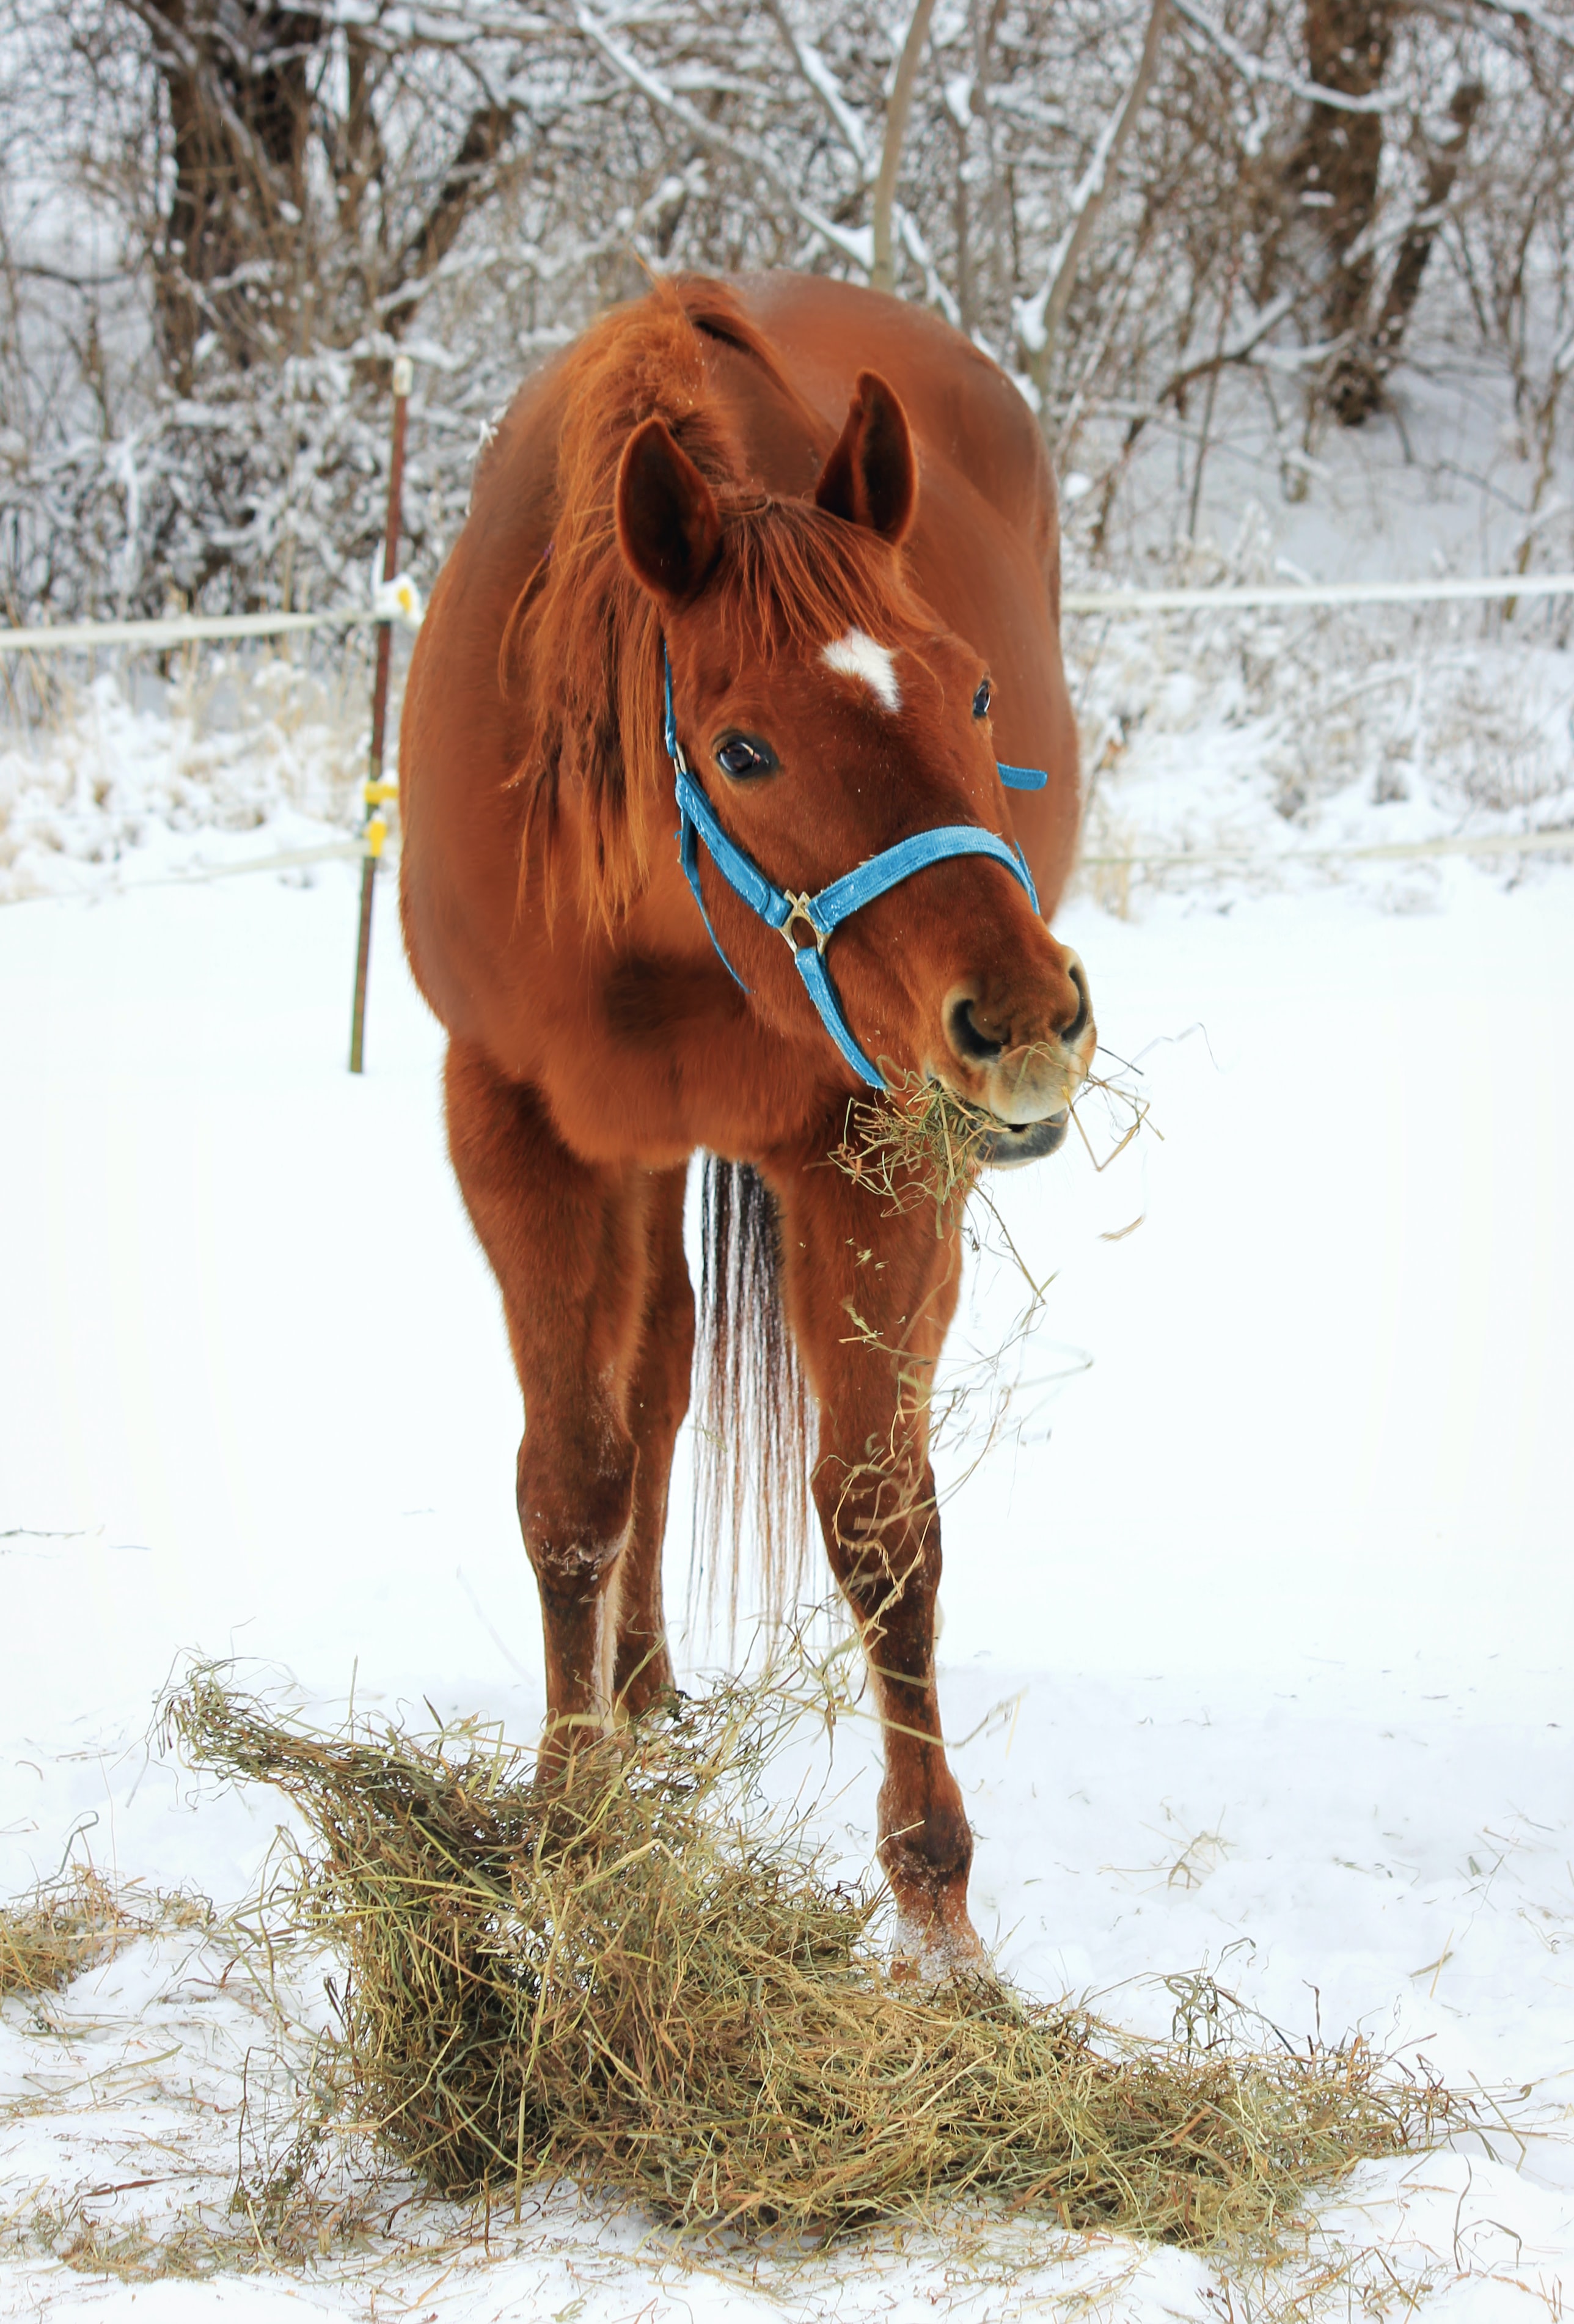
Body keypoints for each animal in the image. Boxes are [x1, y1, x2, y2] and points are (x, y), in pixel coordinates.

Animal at [398, 272, 1095, 1976]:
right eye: (745, 750)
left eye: (977, 688)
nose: (1024, 1021)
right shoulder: (514, 1126)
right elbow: (571, 1481)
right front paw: (567, 1818)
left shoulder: (879, 1141)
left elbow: (880, 1517)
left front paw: (937, 1914)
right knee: (653, 1381)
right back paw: (637, 1690)